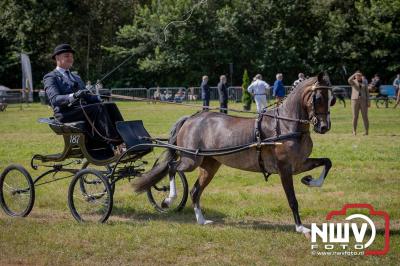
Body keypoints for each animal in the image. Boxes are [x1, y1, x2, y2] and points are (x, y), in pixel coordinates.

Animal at [134, 72, 334, 235]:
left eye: (331, 98)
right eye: (318, 98)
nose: (324, 127)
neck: (286, 125)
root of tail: (191, 118)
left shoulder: (299, 164)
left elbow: (327, 162)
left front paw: (309, 181)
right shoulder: (284, 169)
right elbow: (292, 199)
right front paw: (300, 227)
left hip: (210, 165)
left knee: (195, 190)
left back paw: (201, 220)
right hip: (191, 159)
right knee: (172, 167)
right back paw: (169, 199)